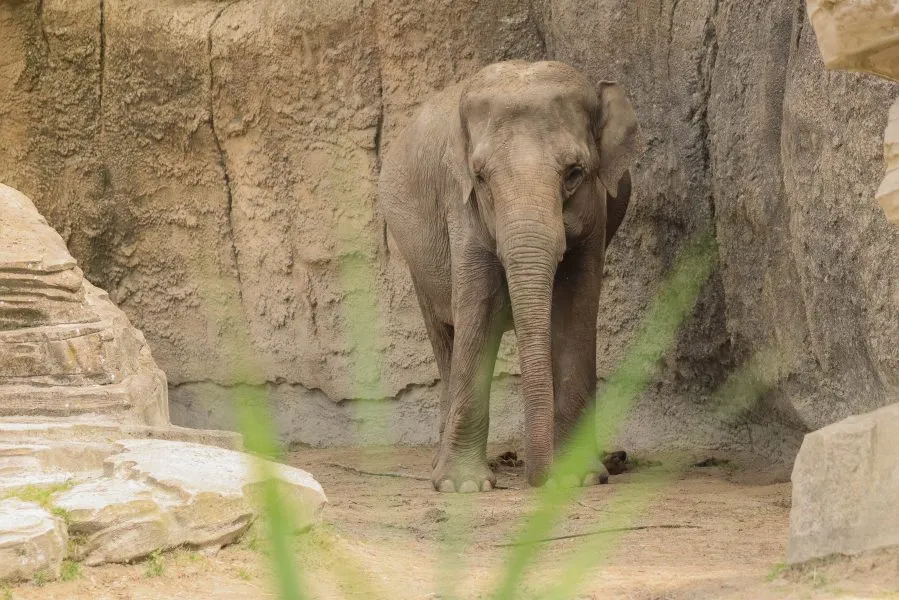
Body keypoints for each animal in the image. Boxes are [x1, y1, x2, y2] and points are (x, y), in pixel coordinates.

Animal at [378, 60, 644, 492]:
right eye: (481, 177)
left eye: (574, 173)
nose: (539, 480)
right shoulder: (461, 206)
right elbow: (478, 307)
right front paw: (462, 487)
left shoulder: (597, 212)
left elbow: (574, 310)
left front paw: (580, 478)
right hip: (415, 258)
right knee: (444, 334)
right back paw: (439, 463)